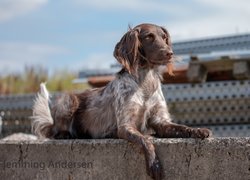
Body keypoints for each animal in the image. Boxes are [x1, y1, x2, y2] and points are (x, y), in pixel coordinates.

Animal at [30, 23, 211, 180]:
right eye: (149, 37)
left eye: (164, 37)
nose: (169, 53)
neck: (145, 81)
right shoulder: (125, 126)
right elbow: (146, 140)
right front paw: (154, 164)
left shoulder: (161, 121)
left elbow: (181, 127)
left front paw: (198, 130)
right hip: (68, 99)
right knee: (54, 131)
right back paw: (65, 134)